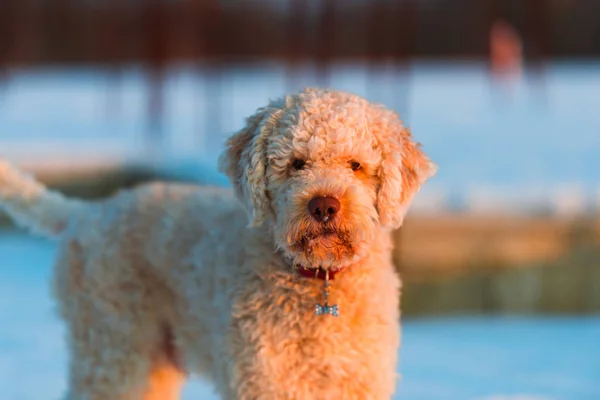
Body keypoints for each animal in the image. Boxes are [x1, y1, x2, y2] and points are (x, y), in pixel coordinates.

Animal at [0, 88, 434, 400]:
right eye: (296, 163)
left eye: (356, 165)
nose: (324, 205)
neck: (320, 285)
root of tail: (86, 213)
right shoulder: (265, 381)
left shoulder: (361, 378)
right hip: (114, 349)